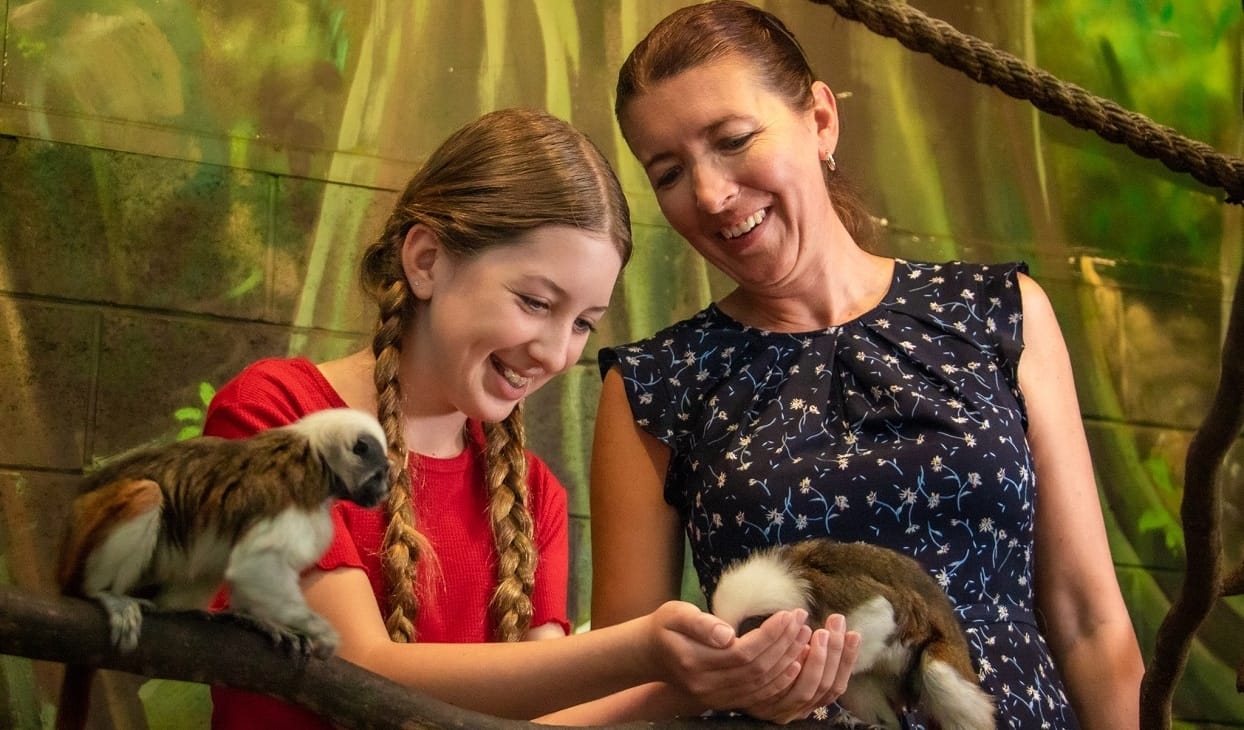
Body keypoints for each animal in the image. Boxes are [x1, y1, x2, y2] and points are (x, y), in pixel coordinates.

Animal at [53, 407, 388, 726]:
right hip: (85, 541)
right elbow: (254, 563)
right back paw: (101, 593)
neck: (318, 456)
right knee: (148, 494)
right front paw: (317, 630)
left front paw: (258, 619)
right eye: (380, 475)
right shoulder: (294, 494)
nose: (383, 491)